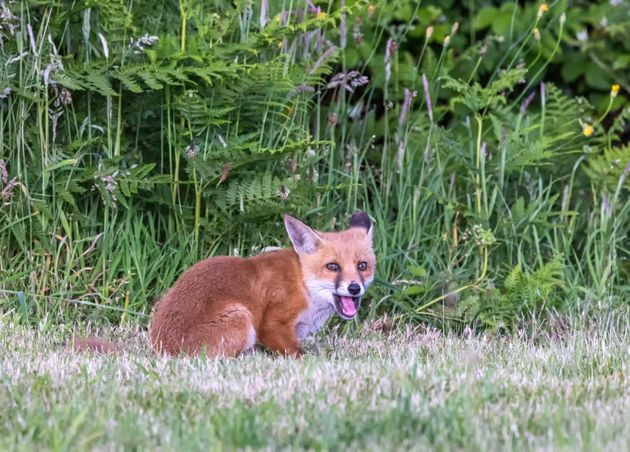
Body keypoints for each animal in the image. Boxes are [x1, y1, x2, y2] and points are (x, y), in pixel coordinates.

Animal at [144, 211, 378, 356]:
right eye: (332, 267)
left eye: (362, 266)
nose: (354, 288)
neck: (303, 284)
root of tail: (162, 347)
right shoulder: (272, 324)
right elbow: (299, 353)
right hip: (241, 318)